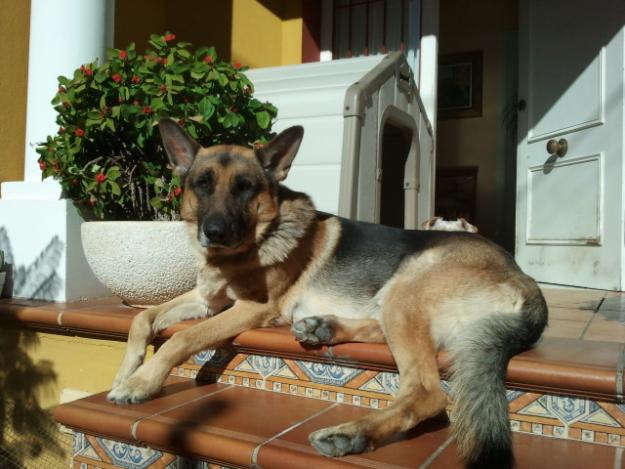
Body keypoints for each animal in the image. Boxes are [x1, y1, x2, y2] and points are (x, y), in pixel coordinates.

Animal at [107, 119, 544, 466]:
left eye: (246, 188)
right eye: (202, 184)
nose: (214, 233)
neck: (251, 244)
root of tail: (525, 281)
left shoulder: (252, 308)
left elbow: (182, 338)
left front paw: (142, 383)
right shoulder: (204, 300)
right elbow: (141, 317)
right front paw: (126, 372)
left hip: (408, 285)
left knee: (427, 392)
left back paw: (353, 433)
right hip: (397, 301)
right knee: (384, 334)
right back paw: (323, 328)